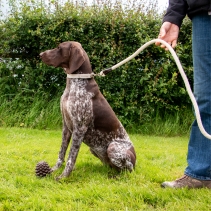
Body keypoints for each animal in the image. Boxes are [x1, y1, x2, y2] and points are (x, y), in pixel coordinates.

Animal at [39, 41, 136, 180]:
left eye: (59, 48)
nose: (40, 54)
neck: (75, 83)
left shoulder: (79, 128)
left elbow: (71, 157)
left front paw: (63, 177)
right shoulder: (66, 127)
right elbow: (62, 152)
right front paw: (53, 170)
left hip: (113, 148)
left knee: (129, 170)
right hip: (94, 150)